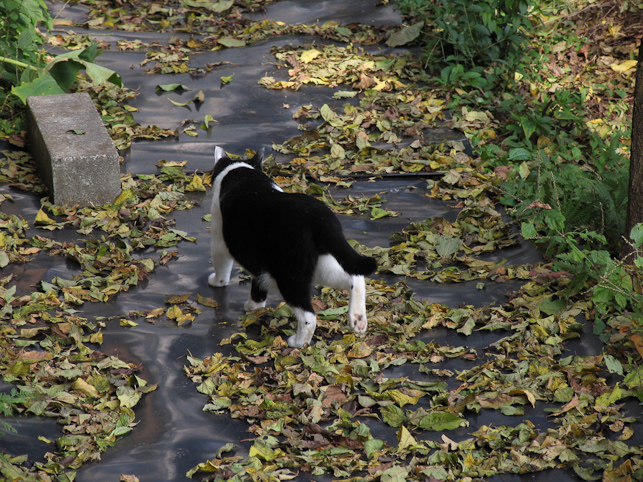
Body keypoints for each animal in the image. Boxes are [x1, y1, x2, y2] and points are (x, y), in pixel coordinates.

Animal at [209, 146, 378, 346]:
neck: (240, 171)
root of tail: (319, 216)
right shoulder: (260, 262)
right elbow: (259, 284)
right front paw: (254, 307)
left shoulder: (220, 242)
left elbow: (222, 270)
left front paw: (217, 282)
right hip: (320, 265)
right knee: (355, 277)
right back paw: (358, 319)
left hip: (289, 274)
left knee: (308, 315)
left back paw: (298, 343)